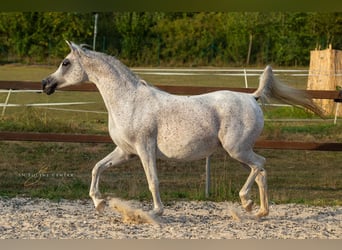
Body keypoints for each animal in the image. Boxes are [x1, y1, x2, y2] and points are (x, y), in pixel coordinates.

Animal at [42, 40, 324, 217]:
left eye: (65, 63)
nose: (45, 84)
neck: (128, 100)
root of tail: (252, 98)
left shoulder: (144, 149)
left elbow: (152, 180)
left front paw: (156, 211)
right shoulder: (126, 152)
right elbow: (97, 168)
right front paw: (99, 202)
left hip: (237, 150)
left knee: (260, 165)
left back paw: (246, 201)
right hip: (240, 151)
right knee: (261, 170)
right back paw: (260, 212)